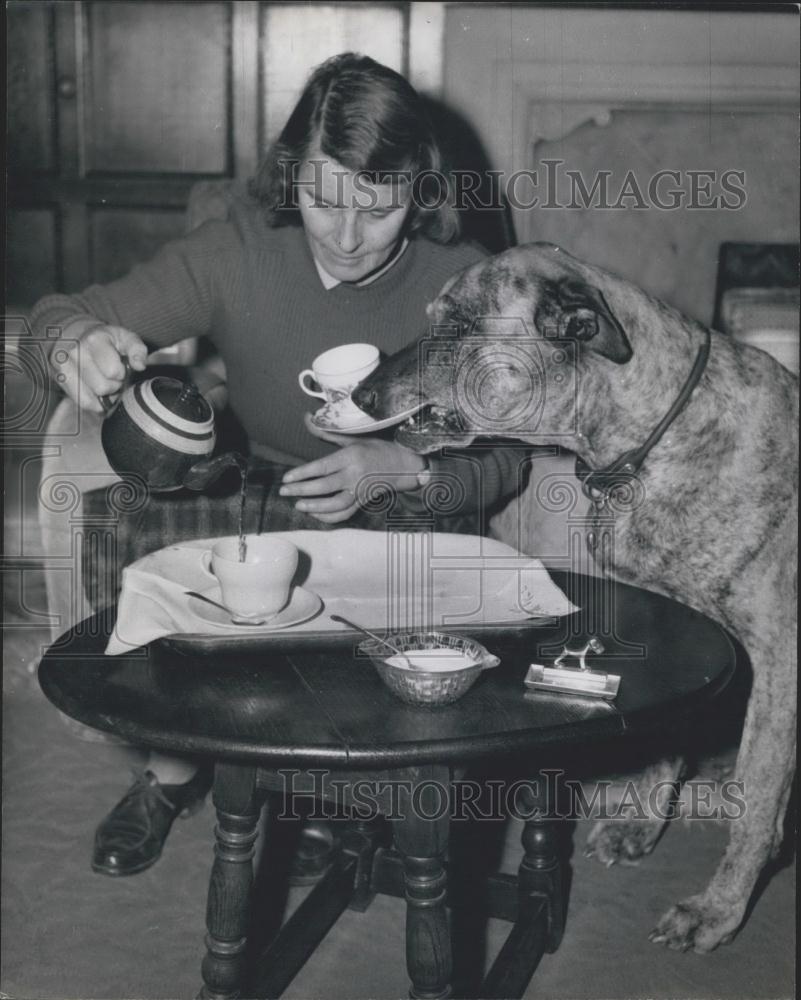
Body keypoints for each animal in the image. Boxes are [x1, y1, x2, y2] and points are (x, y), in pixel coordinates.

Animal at [354, 242, 796, 952]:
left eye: (458, 324)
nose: (361, 395)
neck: (654, 438)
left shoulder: (780, 659)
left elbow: (757, 789)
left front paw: (719, 910)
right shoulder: (688, 638)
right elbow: (669, 736)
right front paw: (644, 819)